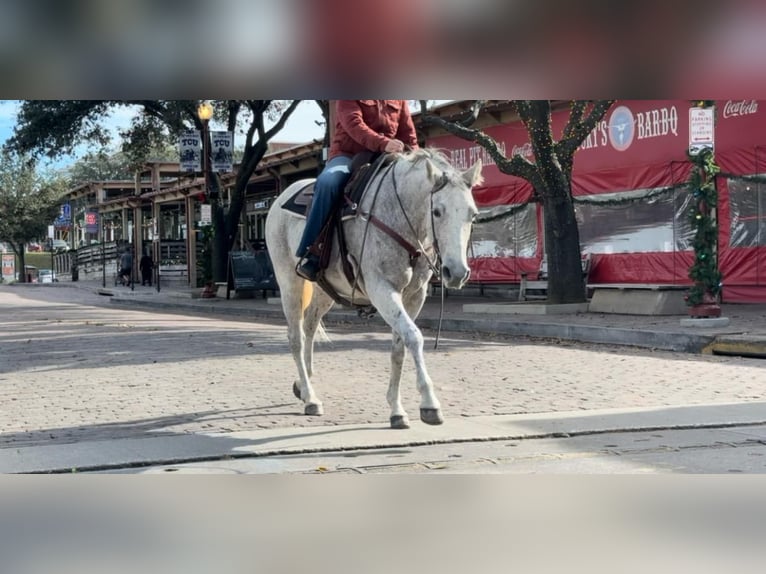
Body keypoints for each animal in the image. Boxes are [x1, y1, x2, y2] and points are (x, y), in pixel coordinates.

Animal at [264, 148, 483, 429]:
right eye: (437, 211)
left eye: (473, 214)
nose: (456, 272)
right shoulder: (382, 290)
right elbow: (414, 337)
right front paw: (429, 403)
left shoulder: (414, 296)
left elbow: (399, 347)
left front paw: (397, 409)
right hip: (289, 283)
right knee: (296, 338)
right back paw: (310, 398)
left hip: (325, 290)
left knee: (310, 326)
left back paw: (304, 386)